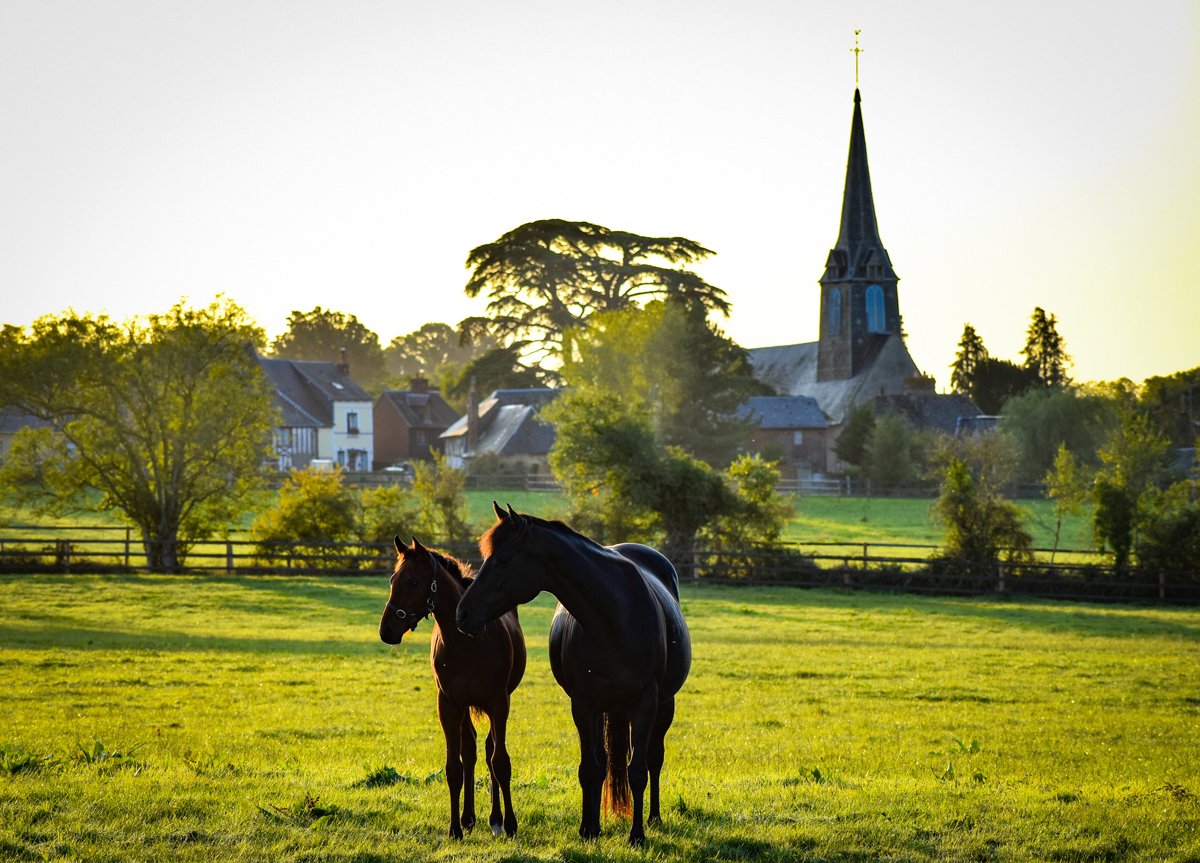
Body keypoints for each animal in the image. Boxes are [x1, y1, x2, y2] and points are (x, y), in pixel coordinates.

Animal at [379, 536, 526, 839]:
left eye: (412, 582)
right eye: (393, 579)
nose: (386, 631)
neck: (467, 641)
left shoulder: (498, 703)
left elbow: (500, 762)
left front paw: (509, 824)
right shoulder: (448, 704)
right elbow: (454, 767)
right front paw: (455, 828)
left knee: (489, 751)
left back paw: (495, 819)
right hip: (464, 707)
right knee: (470, 752)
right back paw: (469, 818)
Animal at [456, 503, 691, 847]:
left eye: (503, 560)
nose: (462, 614)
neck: (613, 617)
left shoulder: (646, 702)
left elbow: (637, 770)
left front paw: (636, 835)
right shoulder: (583, 704)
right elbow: (590, 769)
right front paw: (588, 829)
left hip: (663, 705)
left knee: (654, 758)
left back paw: (654, 818)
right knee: (604, 760)